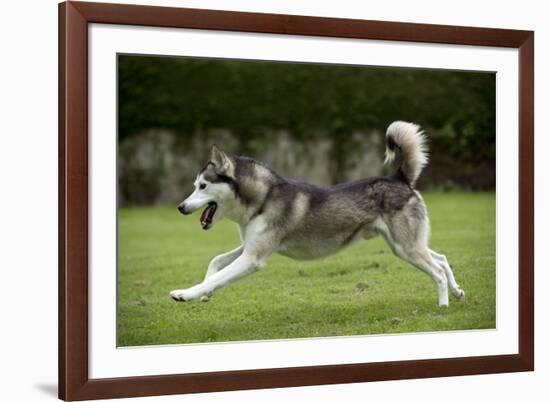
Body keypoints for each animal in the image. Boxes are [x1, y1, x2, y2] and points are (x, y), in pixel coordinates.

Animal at [171, 121, 466, 306]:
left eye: (203, 186)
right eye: (195, 185)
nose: (180, 208)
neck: (264, 197)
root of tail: (400, 178)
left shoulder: (253, 258)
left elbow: (217, 276)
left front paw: (186, 294)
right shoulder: (250, 247)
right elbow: (215, 263)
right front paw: (205, 294)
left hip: (406, 248)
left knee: (437, 271)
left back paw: (443, 307)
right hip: (405, 245)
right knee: (442, 259)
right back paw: (457, 292)